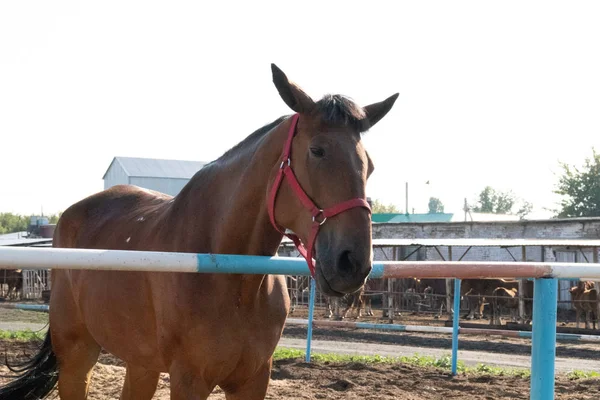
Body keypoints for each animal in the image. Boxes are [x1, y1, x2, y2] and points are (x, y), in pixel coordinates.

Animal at [1, 64, 398, 398]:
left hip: (140, 363)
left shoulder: (253, 380)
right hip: (77, 354)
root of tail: (71, 216)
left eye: (371, 165)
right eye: (317, 151)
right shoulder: (189, 379)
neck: (233, 279)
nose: (352, 263)